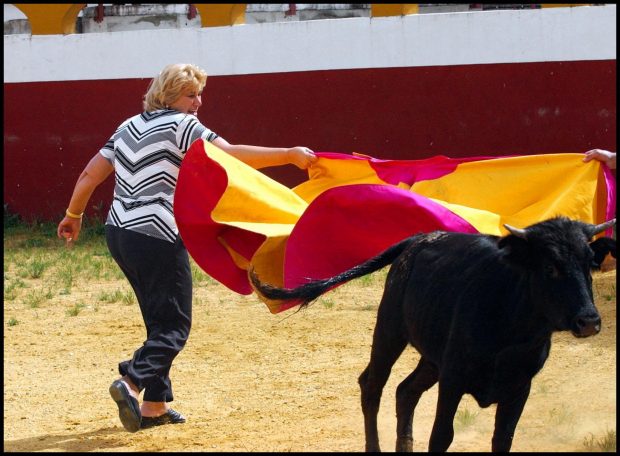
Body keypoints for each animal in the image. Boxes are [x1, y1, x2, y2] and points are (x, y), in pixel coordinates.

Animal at [251, 217, 616, 452]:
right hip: (390, 330)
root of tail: (420, 238)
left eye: (589, 264)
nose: (589, 321)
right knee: (373, 384)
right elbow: (442, 435)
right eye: (550, 267)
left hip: (432, 357)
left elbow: (503, 439)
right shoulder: (453, 378)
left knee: (405, 391)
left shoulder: (519, 387)